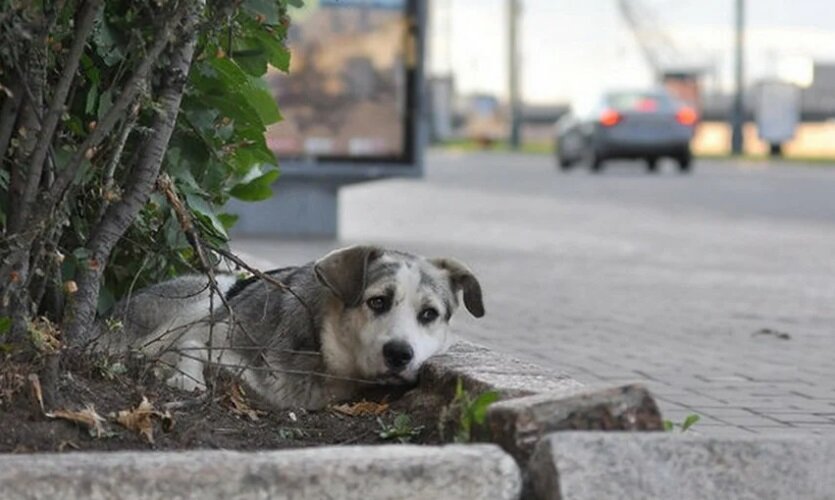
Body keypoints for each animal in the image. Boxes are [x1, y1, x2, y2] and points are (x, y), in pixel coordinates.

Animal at [96, 244, 490, 408]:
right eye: (377, 301)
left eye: (429, 314)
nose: (399, 354)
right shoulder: (214, 334)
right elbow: (191, 350)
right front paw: (182, 379)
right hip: (206, 294)